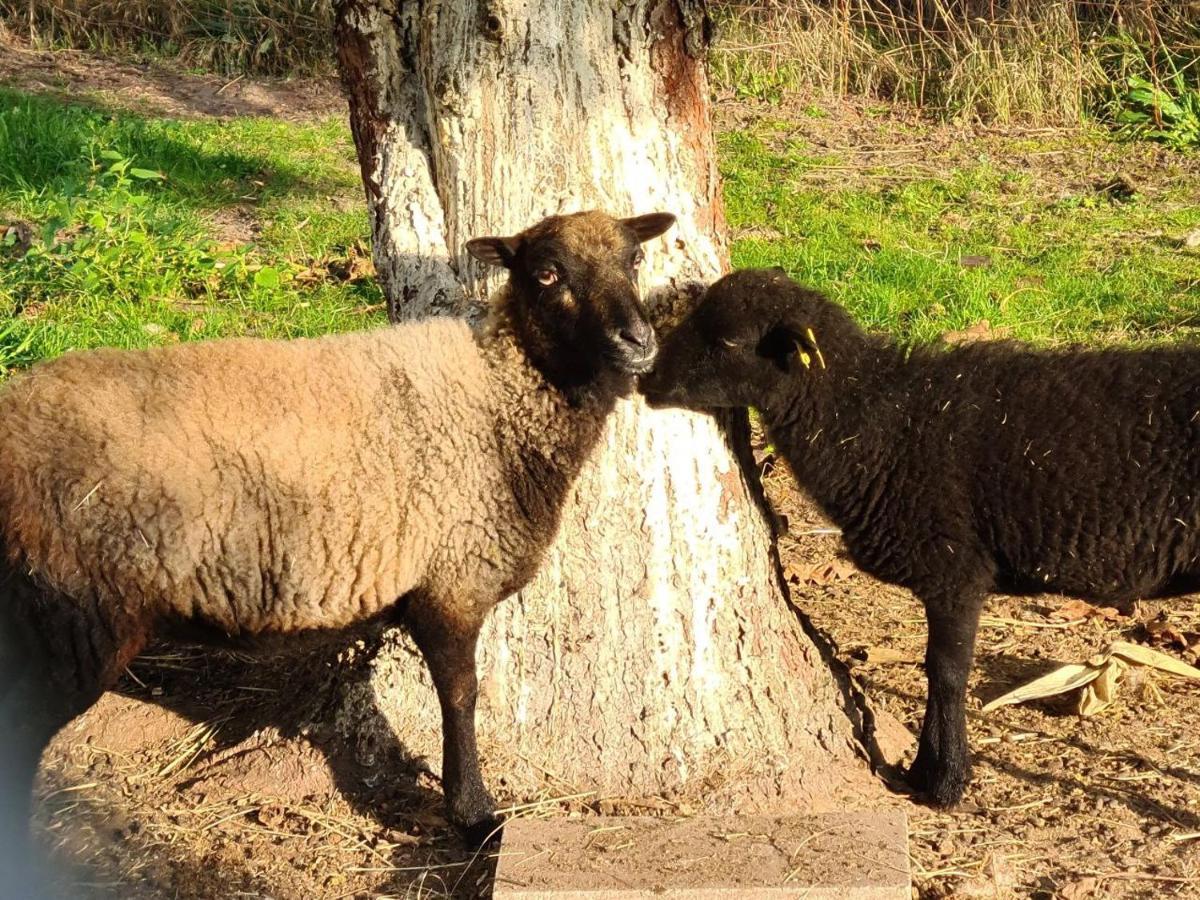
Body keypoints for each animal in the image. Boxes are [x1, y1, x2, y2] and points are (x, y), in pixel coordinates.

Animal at [643, 270, 1200, 811]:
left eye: (729, 340)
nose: (648, 381)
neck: (876, 422)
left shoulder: (956, 571)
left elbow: (946, 674)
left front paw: (941, 781)